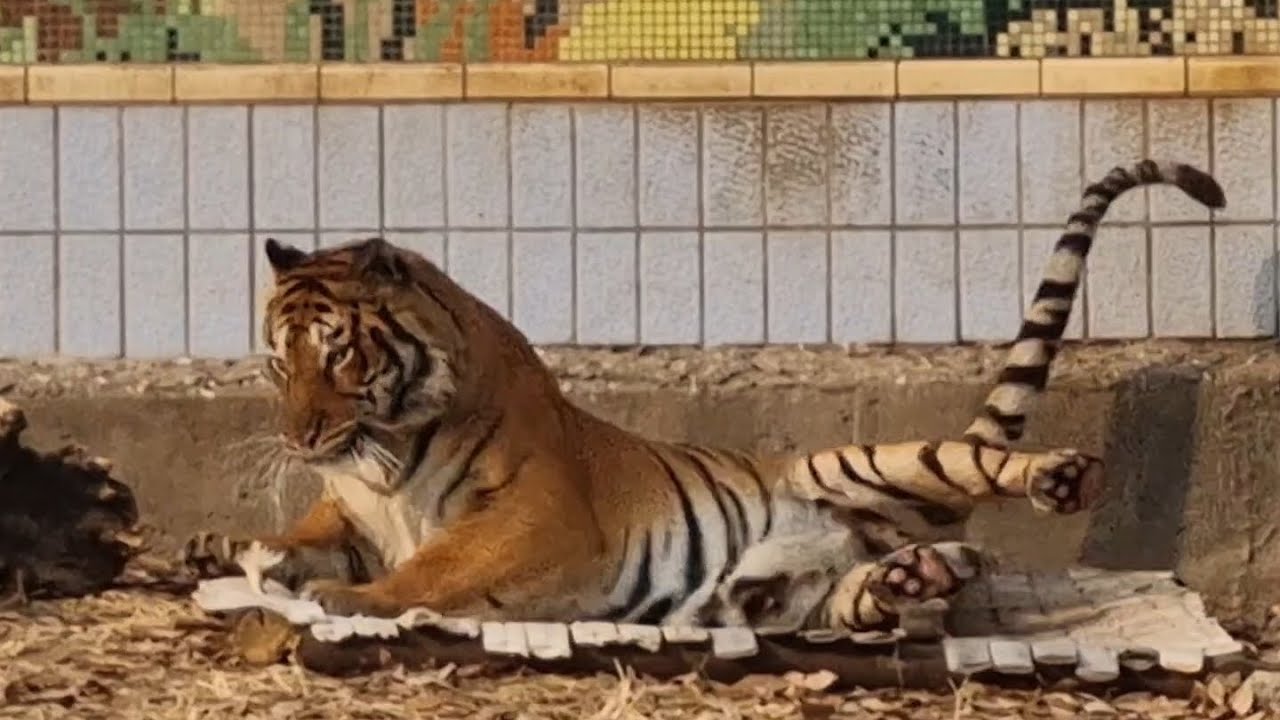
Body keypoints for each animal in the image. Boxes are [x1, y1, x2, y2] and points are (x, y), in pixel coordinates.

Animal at [183, 159, 1225, 634]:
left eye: (337, 355)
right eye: (278, 363)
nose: (299, 436)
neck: (384, 451)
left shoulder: (537, 511)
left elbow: (435, 567)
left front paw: (354, 600)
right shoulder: (354, 509)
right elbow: (307, 534)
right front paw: (250, 553)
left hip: (860, 460)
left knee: (979, 462)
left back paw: (1058, 479)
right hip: (815, 592)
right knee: (863, 590)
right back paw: (910, 578)